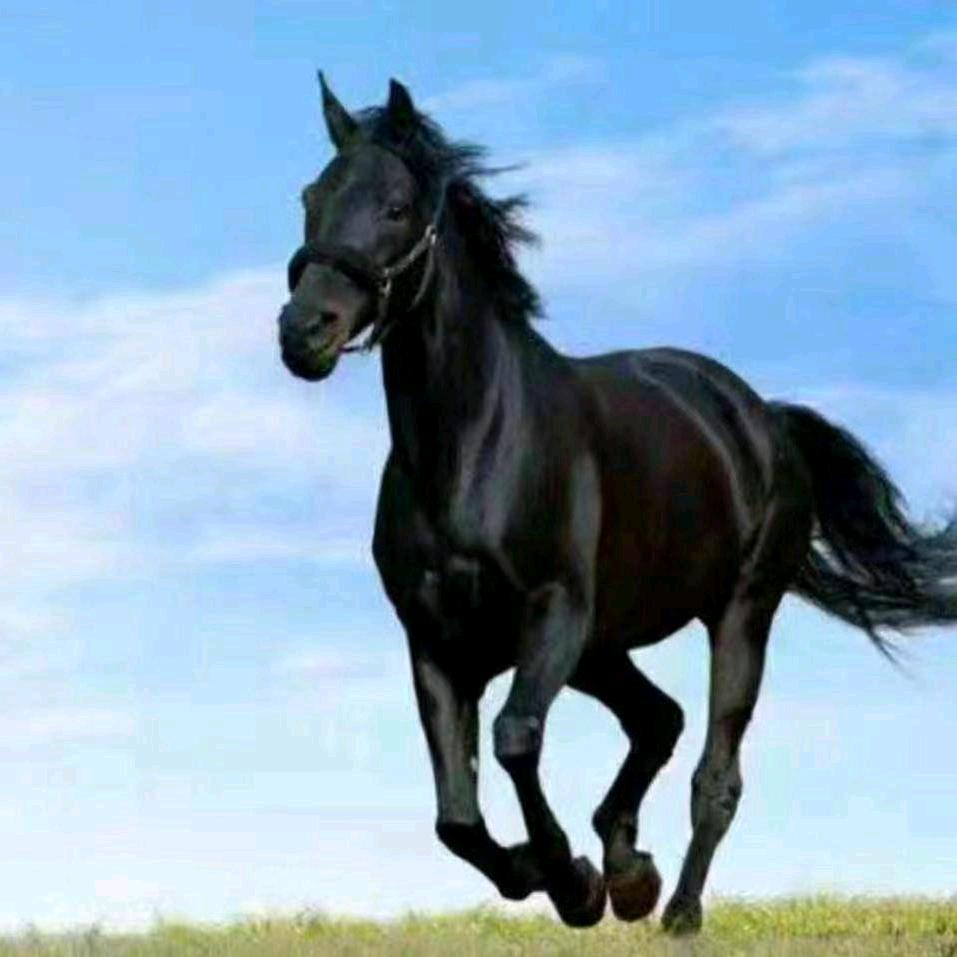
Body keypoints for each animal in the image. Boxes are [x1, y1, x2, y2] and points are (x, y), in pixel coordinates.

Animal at [275, 74, 957, 934]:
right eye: (311, 197)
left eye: (395, 206)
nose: (303, 331)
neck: (472, 447)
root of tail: (762, 417)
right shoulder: (435, 641)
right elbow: (455, 815)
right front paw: (560, 871)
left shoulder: (553, 612)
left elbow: (514, 738)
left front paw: (573, 882)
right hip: (604, 646)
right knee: (657, 718)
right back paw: (631, 870)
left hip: (736, 612)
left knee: (713, 772)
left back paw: (677, 909)